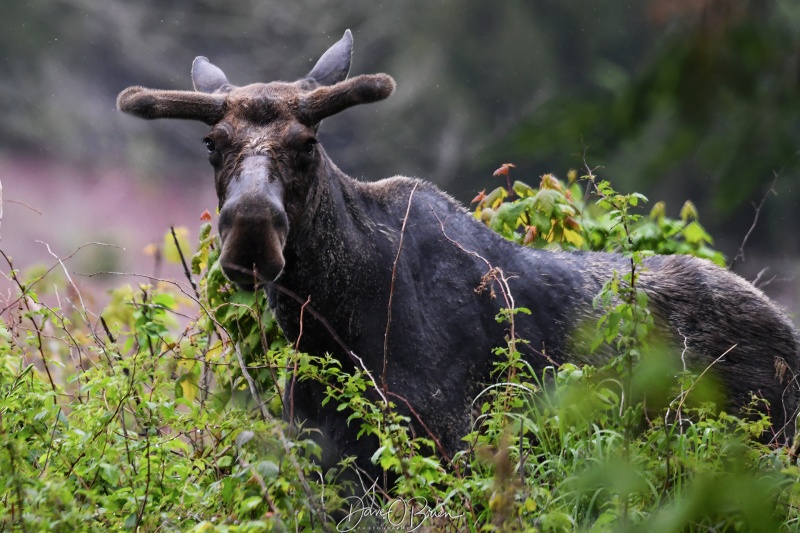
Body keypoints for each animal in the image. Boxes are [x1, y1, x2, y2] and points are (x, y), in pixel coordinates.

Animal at [119, 30, 800, 482]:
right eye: (212, 143)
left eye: (307, 143)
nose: (252, 234)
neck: (331, 323)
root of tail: (784, 324)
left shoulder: (453, 444)